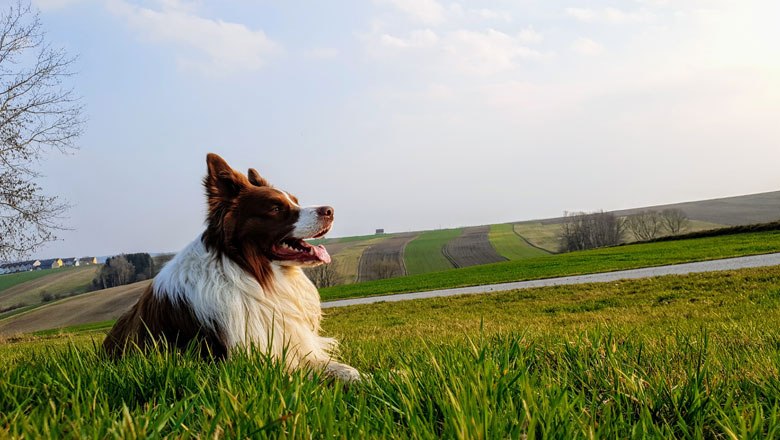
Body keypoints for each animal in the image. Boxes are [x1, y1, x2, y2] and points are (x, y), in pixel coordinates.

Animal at [102, 154, 362, 382]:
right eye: (276, 208)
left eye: (295, 201)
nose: (330, 211)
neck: (250, 271)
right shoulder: (249, 362)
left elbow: (350, 371)